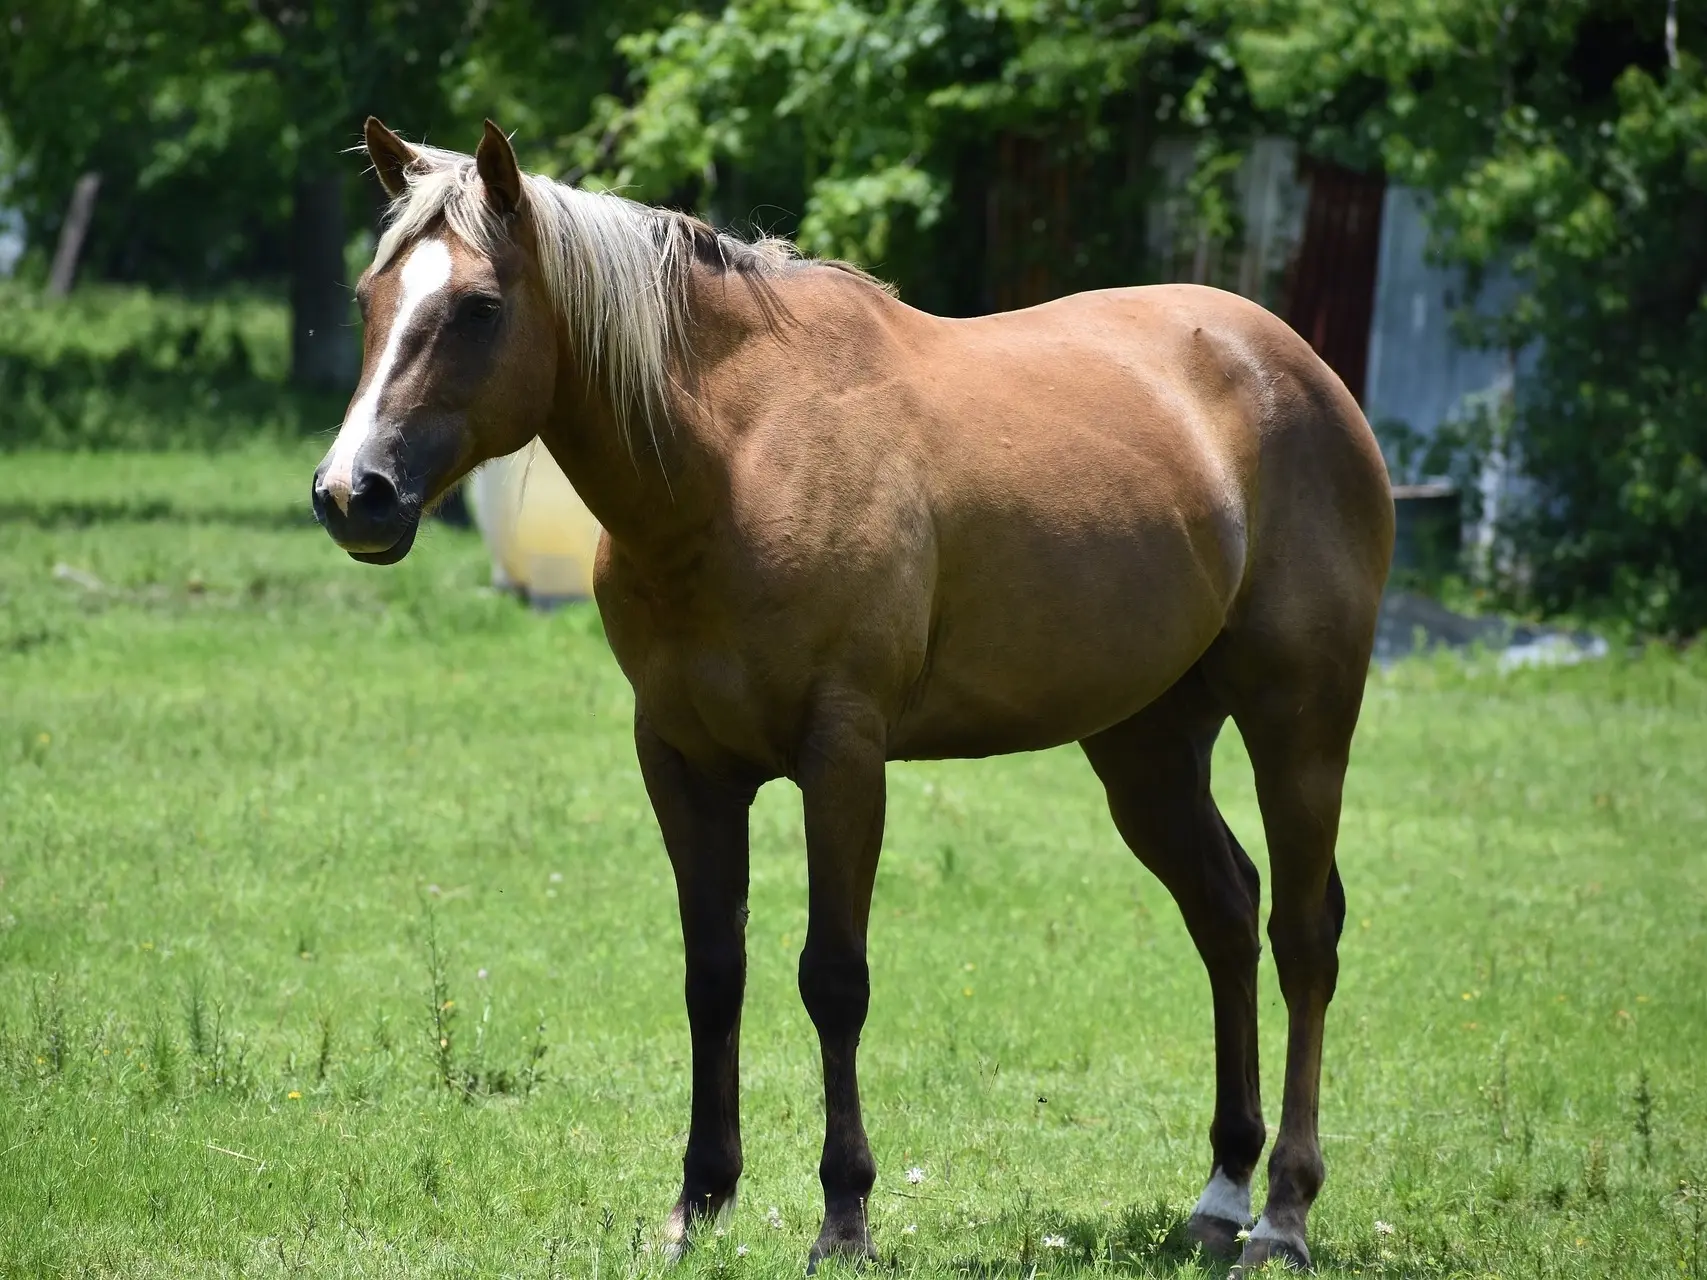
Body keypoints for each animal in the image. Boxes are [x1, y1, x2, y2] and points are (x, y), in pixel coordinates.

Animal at [314, 117, 1392, 1276]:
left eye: (478, 307)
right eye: (370, 298)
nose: (351, 494)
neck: (734, 461)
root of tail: (1297, 366)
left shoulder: (842, 756)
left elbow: (833, 977)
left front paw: (843, 1215)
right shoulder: (682, 762)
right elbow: (713, 973)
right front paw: (699, 1201)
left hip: (1300, 721)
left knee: (1302, 935)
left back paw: (1282, 1213)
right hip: (1145, 745)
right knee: (1224, 912)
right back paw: (1220, 1192)